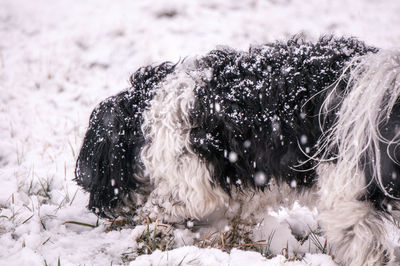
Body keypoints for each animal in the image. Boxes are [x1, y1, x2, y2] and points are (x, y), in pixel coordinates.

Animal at [75, 36, 400, 264]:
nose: (98, 209)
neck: (145, 117)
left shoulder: (189, 183)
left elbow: (161, 207)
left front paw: (149, 231)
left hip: (347, 191)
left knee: (365, 242)